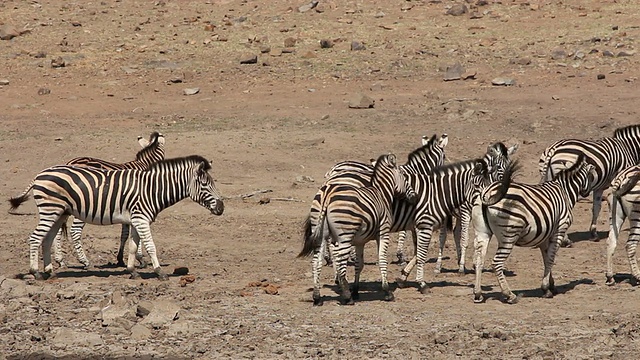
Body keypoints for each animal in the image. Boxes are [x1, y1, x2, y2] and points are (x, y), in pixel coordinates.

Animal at [8, 155, 225, 282]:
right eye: (205, 184)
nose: (222, 208)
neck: (152, 189)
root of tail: (39, 174)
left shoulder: (137, 220)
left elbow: (133, 246)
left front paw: (132, 270)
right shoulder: (141, 219)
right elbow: (150, 246)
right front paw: (159, 272)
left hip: (59, 212)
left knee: (47, 240)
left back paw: (49, 271)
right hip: (50, 209)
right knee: (35, 238)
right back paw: (35, 272)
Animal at [52, 131, 166, 268]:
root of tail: (69, 163)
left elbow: (125, 234)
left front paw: (121, 259)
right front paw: (139, 259)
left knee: (58, 230)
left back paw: (60, 260)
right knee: (75, 230)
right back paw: (84, 261)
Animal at [298, 153, 418, 306]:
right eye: (404, 176)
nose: (415, 197)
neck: (382, 193)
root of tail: (327, 194)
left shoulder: (360, 241)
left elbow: (359, 264)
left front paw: (356, 291)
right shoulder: (383, 232)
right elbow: (382, 259)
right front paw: (387, 292)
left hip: (320, 232)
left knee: (316, 262)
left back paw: (317, 297)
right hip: (344, 234)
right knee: (340, 263)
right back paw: (346, 297)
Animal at [470, 155, 596, 304]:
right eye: (591, 177)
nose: (587, 193)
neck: (565, 191)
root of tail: (487, 195)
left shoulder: (544, 235)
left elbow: (546, 258)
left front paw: (551, 286)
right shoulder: (560, 229)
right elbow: (551, 259)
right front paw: (546, 288)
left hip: (482, 233)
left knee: (479, 260)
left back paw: (478, 293)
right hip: (509, 233)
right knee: (497, 263)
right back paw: (509, 295)